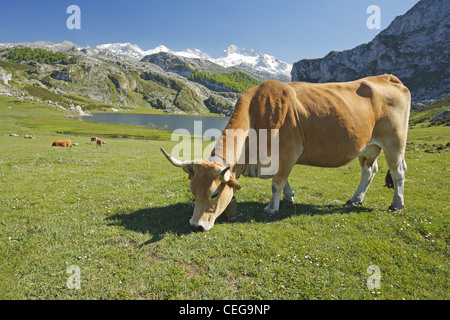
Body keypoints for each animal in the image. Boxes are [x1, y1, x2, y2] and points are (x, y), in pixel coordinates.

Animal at [162, 74, 412, 232]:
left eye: (214, 194)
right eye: (192, 191)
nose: (195, 225)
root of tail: (386, 77)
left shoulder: (289, 150)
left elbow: (276, 182)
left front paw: (272, 208)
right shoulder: (279, 158)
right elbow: (282, 179)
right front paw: (289, 196)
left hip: (395, 141)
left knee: (398, 171)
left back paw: (397, 204)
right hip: (369, 146)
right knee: (369, 170)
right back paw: (355, 199)